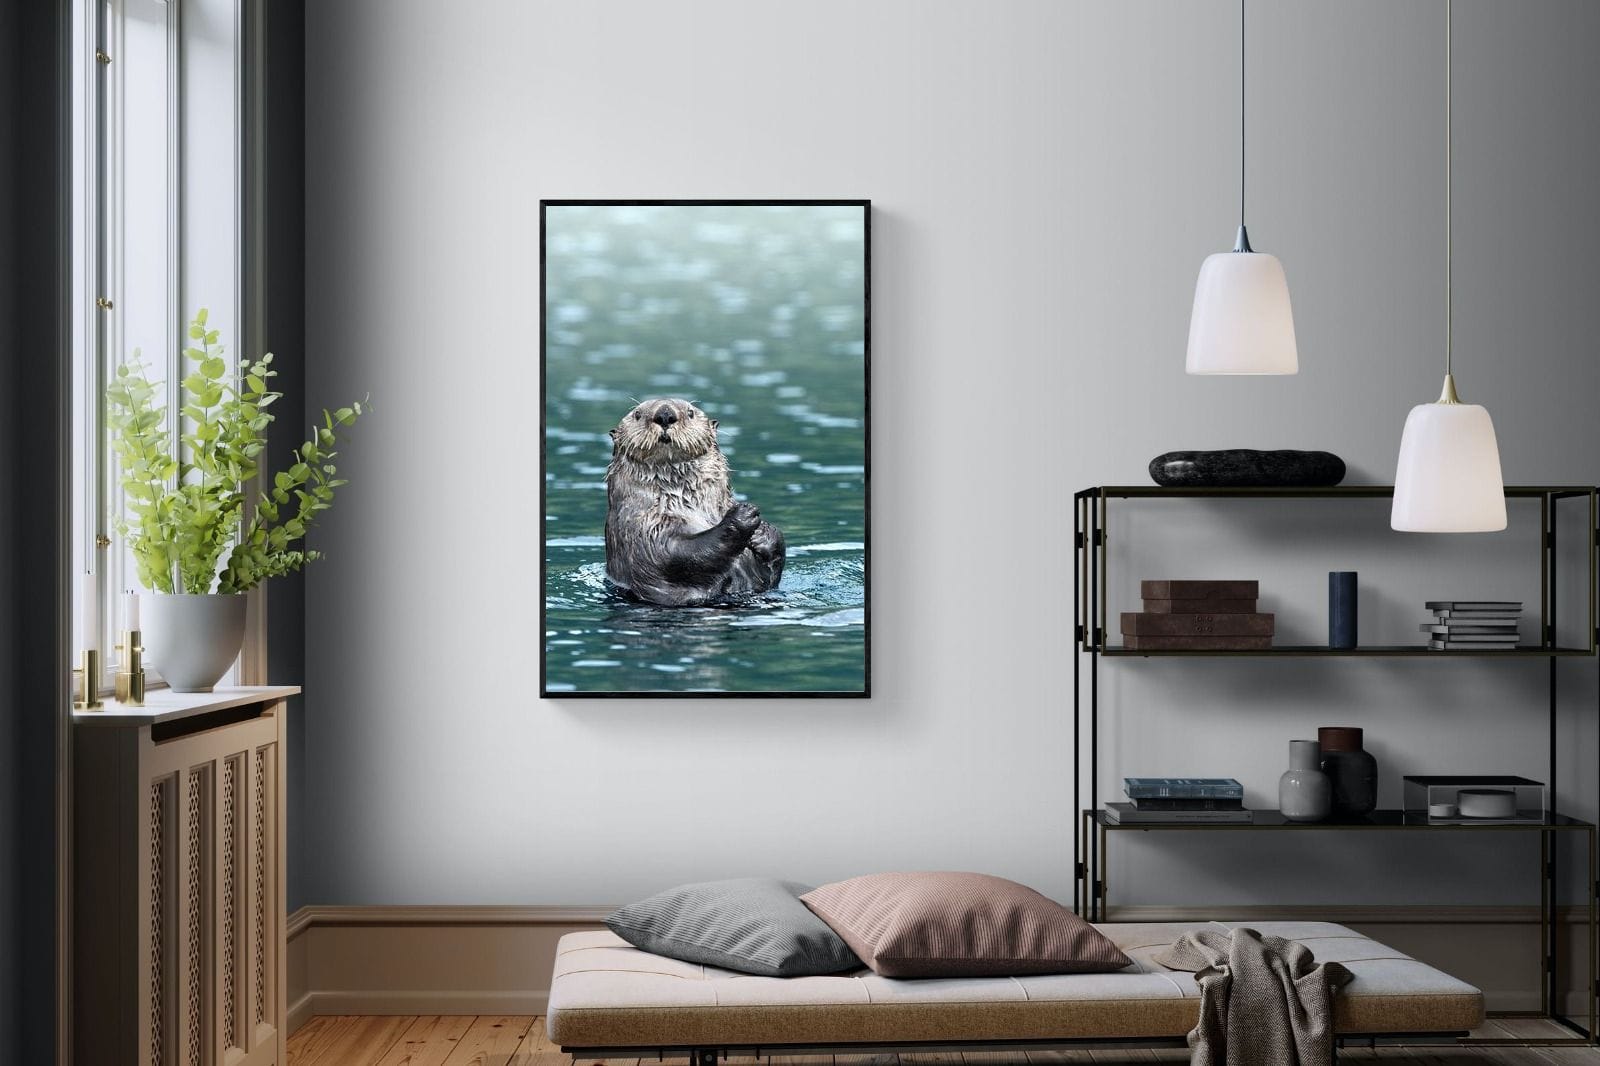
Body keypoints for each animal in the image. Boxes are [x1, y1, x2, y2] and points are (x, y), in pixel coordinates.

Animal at [604, 398, 786, 606]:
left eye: (690, 412)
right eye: (637, 414)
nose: (665, 414)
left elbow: (771, 576)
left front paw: (763, 532)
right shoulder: (641, 528)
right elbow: (675, 554)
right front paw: (742, 515)